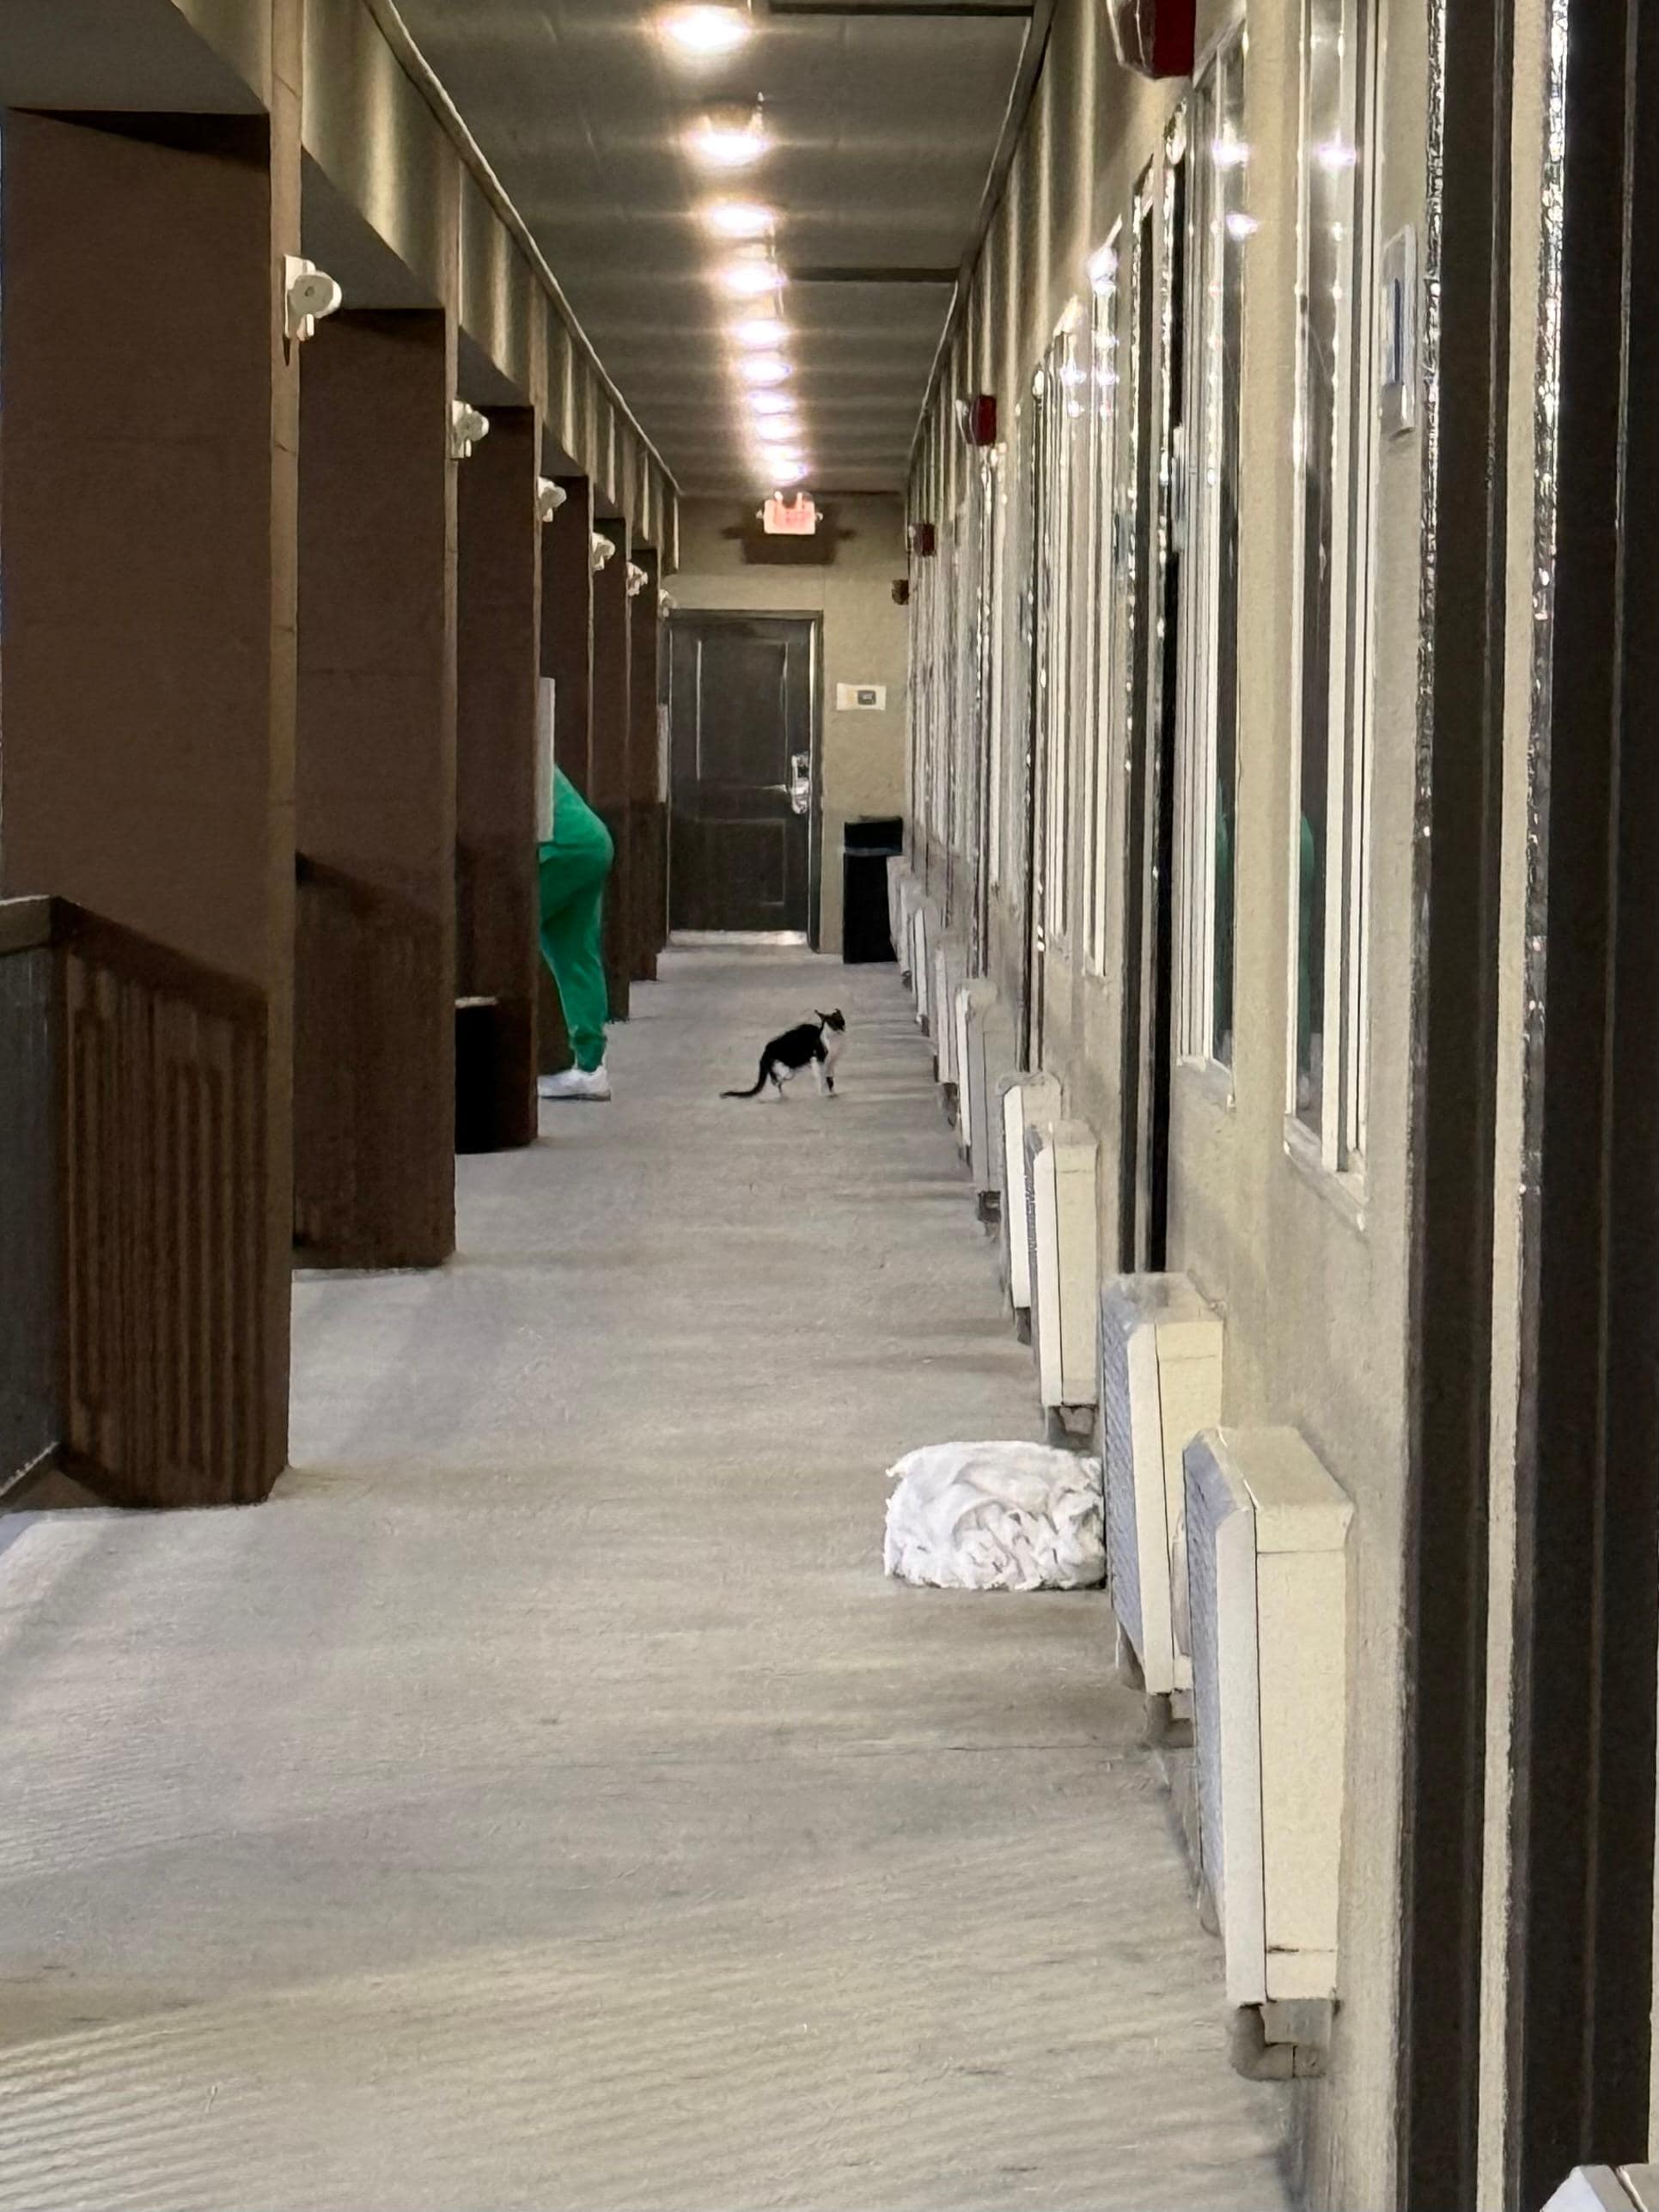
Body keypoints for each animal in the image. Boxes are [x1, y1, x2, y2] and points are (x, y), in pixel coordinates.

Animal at [722, 1010, 846, 1100]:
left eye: (841, 1022)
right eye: (831, 1024)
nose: (839, 1030)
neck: (834, 1042)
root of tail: (765, 1052)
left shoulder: (831, 1064)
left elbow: (830, 1080)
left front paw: (832, 1093)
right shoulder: (817, 1061)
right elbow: (821, 1079)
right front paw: (822, 1095)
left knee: (777, 1081)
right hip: (785, 1070)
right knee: (775, 1080)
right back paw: (780, 1095)